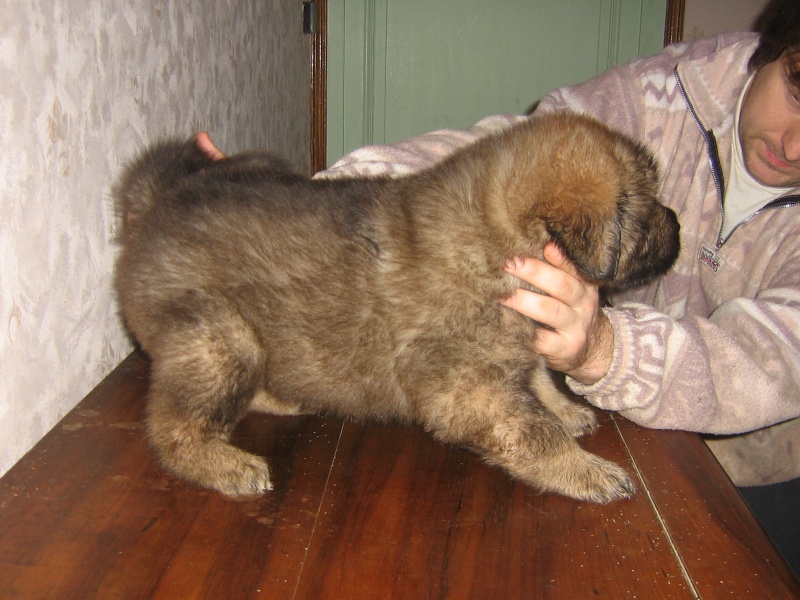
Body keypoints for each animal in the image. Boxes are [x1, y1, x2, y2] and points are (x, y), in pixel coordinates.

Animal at [115, 112, 680, 502]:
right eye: (647, 210)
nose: (676, 223)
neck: (497, 243)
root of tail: (160, 201)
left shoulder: (518, 339)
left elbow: (538, 375)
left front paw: (567, 410)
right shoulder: (466, 381)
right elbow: (533, 431)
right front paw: (586, 470)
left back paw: (282, 400)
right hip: (219, 338)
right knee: (173, 428)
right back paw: (225, 464)